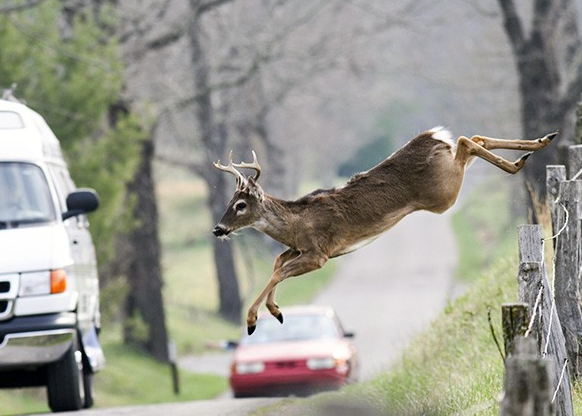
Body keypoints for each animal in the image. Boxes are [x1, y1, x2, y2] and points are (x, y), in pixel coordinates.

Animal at [213, 127, 556, 334]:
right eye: (229, 202)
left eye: (240, 205)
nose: (218, 229)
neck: (295, 224)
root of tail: (433, 137)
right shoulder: (299, 249)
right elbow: (276, 263)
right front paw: (276, 310)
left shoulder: (319, 253)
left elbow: (278, 271)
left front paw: (253, 319)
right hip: (449, 180)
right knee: (473, 139)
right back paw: (539, 144)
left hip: (444, 194)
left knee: (465, 140)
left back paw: (521, 160)